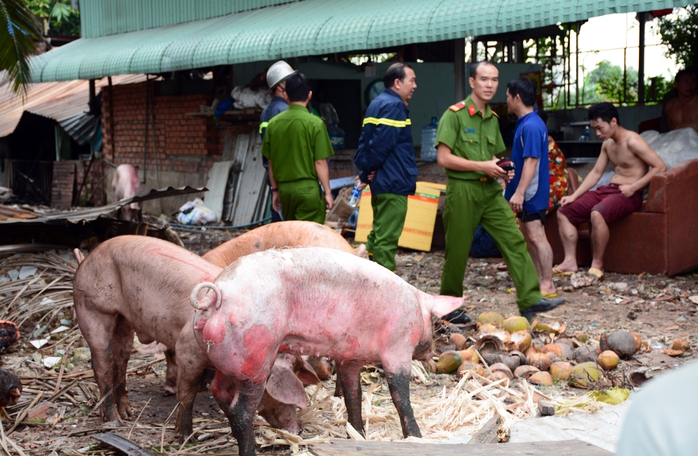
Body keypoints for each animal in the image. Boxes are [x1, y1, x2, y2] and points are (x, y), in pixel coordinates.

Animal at [192, 248, 462, 454]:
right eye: (434, 323)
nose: (433, 360)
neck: (416, 305)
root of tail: (216, 297)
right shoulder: (397, 349)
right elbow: (400, 396)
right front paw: (416, 437)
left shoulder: (350, 358)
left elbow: (354, 395)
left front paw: (358, 434)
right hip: (256, 358)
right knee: (241, 412)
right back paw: (250, 450)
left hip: (230, 362)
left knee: (219, 392)